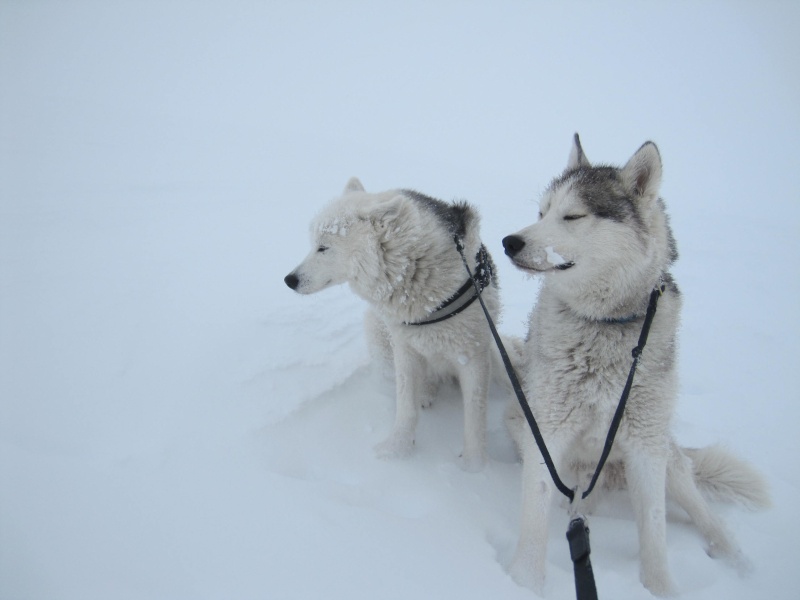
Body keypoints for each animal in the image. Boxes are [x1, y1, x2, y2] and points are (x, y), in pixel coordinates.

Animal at [284, 178, 500, 474]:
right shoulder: (405, 350)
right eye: (314, 244)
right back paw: (426, 391)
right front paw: (397, 450)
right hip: (378, 336)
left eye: (323, 247)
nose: (289, 280)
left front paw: (475, 468)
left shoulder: (473, 356)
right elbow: (406, 406)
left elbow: (475, 417)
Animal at [500, 136, 768, 596]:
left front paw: (660, 590)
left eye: (573, 215)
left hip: (667, 456)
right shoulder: (547, 434)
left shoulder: (645, 449)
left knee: (702, 511)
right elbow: (534, 518)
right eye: (543, 212)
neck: (603, 325)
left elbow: (655, 534)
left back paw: (739, 561)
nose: (509, 242)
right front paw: (524, 583)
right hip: (523, 422)